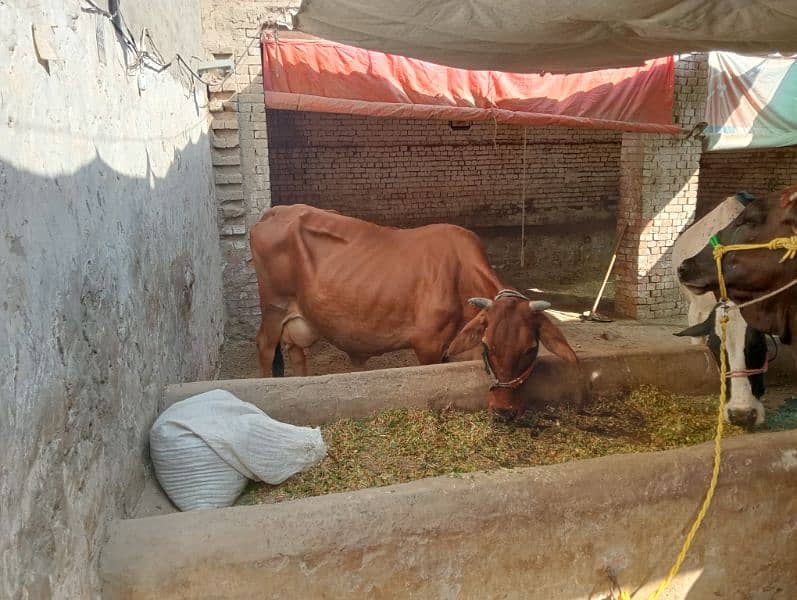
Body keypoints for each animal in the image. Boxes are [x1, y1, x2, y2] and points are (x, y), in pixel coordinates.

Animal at [250, 204, 580, 414]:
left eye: (531, 349)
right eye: (488, 346)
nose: (504, 410)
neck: (459, 276)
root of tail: (275, 211)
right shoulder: (428, 345)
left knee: (295, 351)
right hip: (274, 305)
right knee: (265, 346)